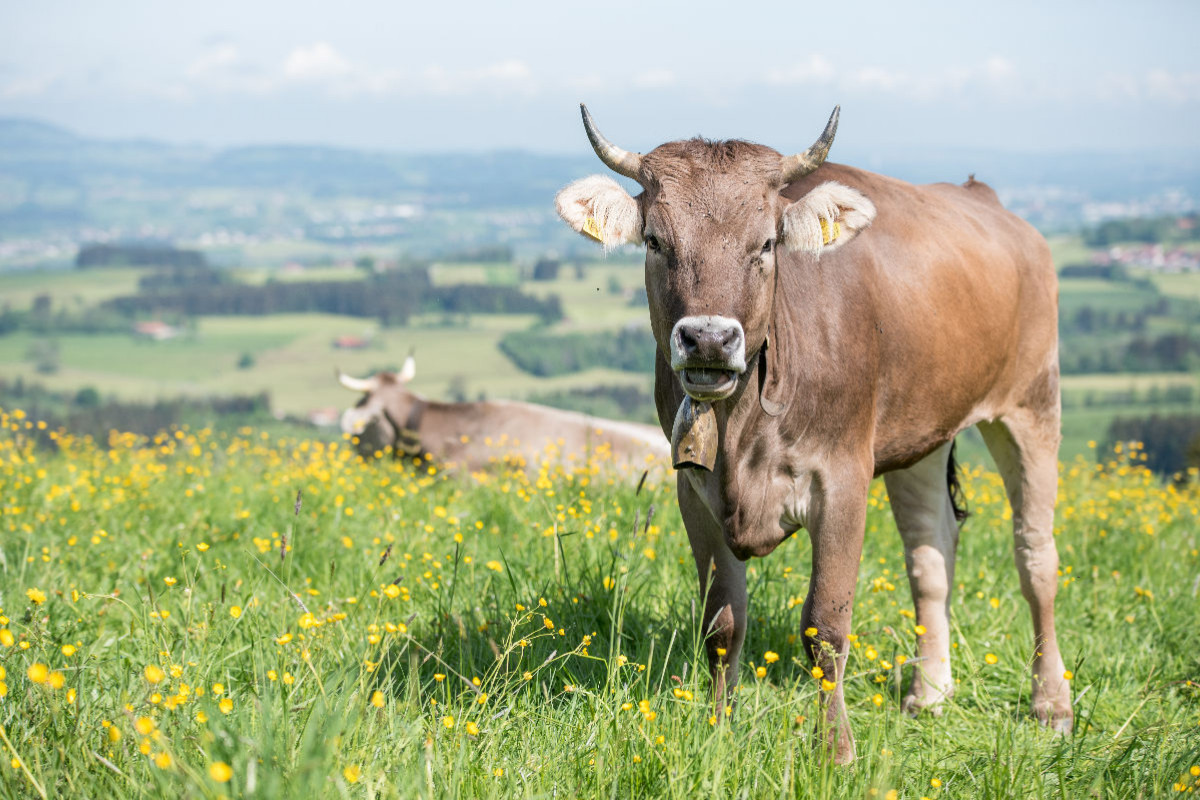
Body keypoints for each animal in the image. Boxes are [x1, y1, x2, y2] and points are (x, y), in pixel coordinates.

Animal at [556, 103, 1075, 762]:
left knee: (1036, 557)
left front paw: (837, 751)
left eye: (767, 242)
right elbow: (722, 623)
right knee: (931, 553)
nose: (708, 339)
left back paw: (1051, 703)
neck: (742, 427)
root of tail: (985, 198)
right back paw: (929, 691)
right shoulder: (693, 491)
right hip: (921, 434)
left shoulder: (843, 479)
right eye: (655, 240)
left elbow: (824, 624)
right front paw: (719, 733)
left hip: (1032, 404)